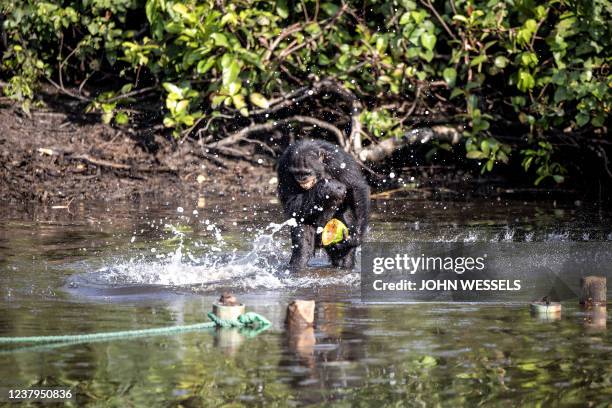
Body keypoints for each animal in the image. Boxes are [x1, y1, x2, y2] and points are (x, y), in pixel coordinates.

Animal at [278, 139, 370, 270]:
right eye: (297, 173)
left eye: (307, 172)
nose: (302, 178)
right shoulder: (283, 169)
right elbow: (290, 202)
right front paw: (328, 188)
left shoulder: (339, 161)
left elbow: (357, 188)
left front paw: (357, 235)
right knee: (301, 252)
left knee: (344, 256)